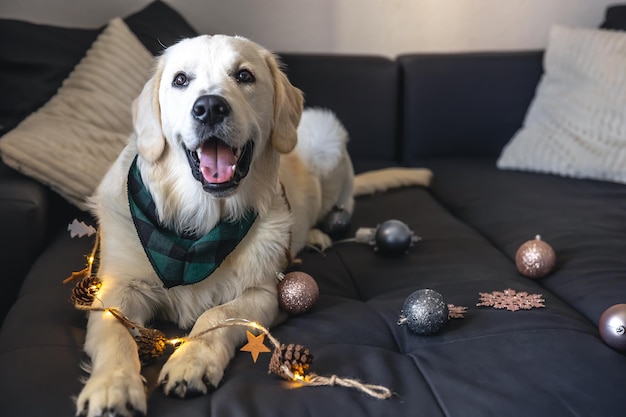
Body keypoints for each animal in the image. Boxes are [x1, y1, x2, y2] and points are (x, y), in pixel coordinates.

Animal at [74, 35, 428, 416]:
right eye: (180, 80)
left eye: (244, 75)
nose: (209, 108)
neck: (199, 226)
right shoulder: (117, 287)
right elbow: (114, 330)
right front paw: (112, 386)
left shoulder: (265, 292)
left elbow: (217, 315)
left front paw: (192, 361)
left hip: (328, 142)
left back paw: (318, 233)